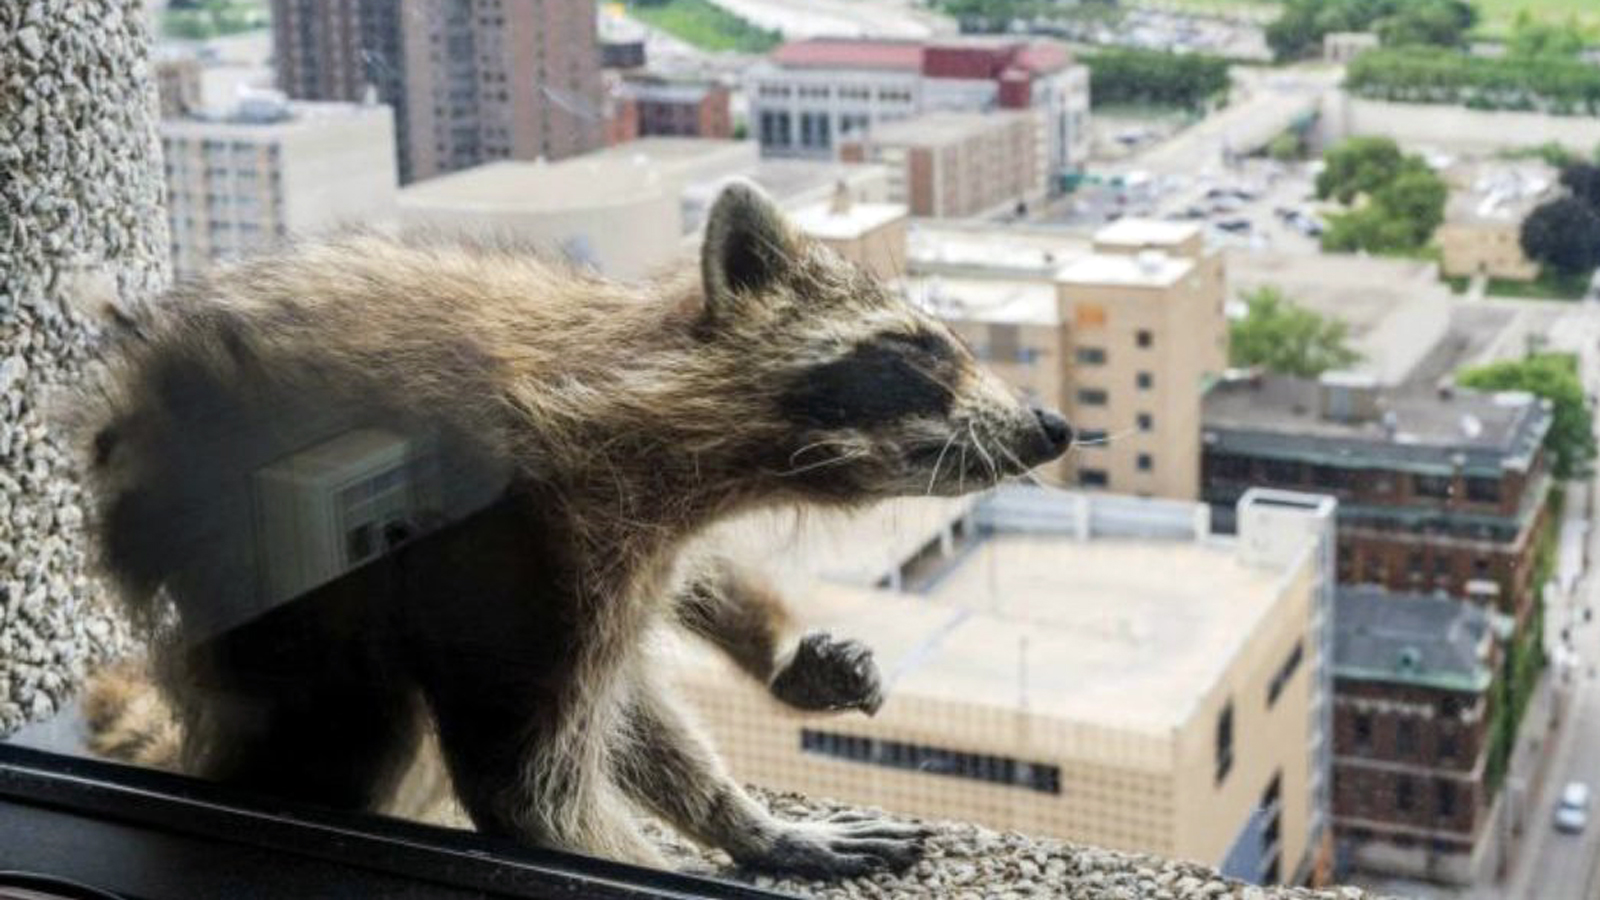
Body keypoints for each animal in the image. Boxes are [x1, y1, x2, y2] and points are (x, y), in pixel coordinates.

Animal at [76, 182, 1073, 876]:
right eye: (917, 349)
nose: (1053, 428)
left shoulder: (634, 538)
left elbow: (642, 680)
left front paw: (748, 798)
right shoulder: (524, 535)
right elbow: (529, 791)